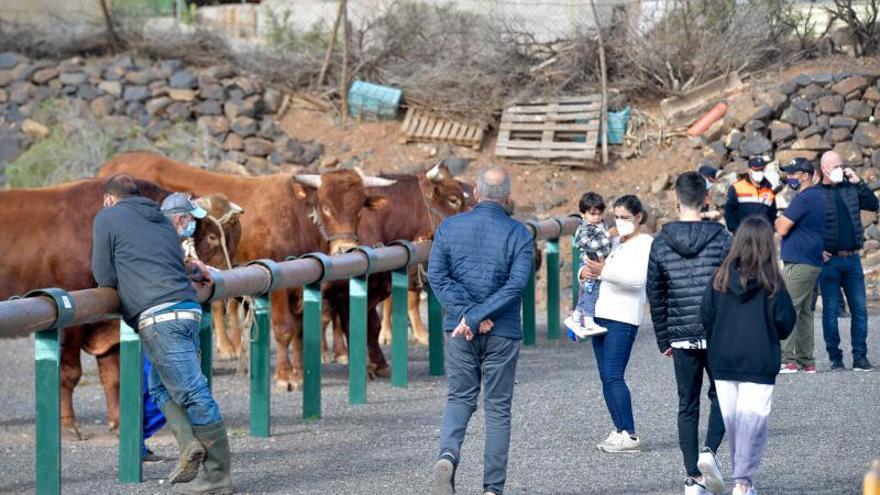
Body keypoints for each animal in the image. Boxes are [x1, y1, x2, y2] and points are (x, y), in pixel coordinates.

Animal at [97, 151, 396, 392]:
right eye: (325, 207)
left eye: (359, 208)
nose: (346, 248)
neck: (296, 218)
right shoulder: (277, 287)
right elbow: (284, 329)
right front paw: (286, 376)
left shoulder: (303, 283)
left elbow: (301, 330)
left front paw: (300, 372)